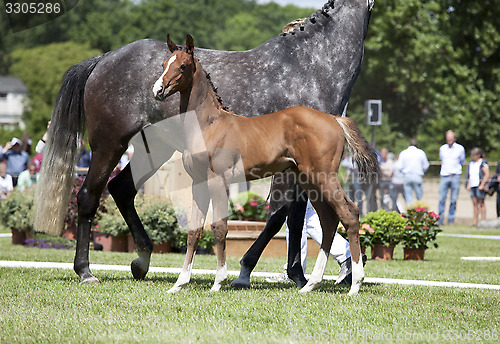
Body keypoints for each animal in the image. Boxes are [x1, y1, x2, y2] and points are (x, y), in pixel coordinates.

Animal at [154, 35, 376, 296]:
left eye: (183, 66)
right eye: (163, 64)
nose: (158, 90)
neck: (209, 125)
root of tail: (334, 119)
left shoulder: (218, 179)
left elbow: (219, 228)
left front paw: (218, 282)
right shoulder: (198, 182)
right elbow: (194, 231)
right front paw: (179, 283)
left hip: (323, 176)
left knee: (349, 213)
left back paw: (355, 284)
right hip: (308, 179)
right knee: (329, 220)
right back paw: (311, 284)